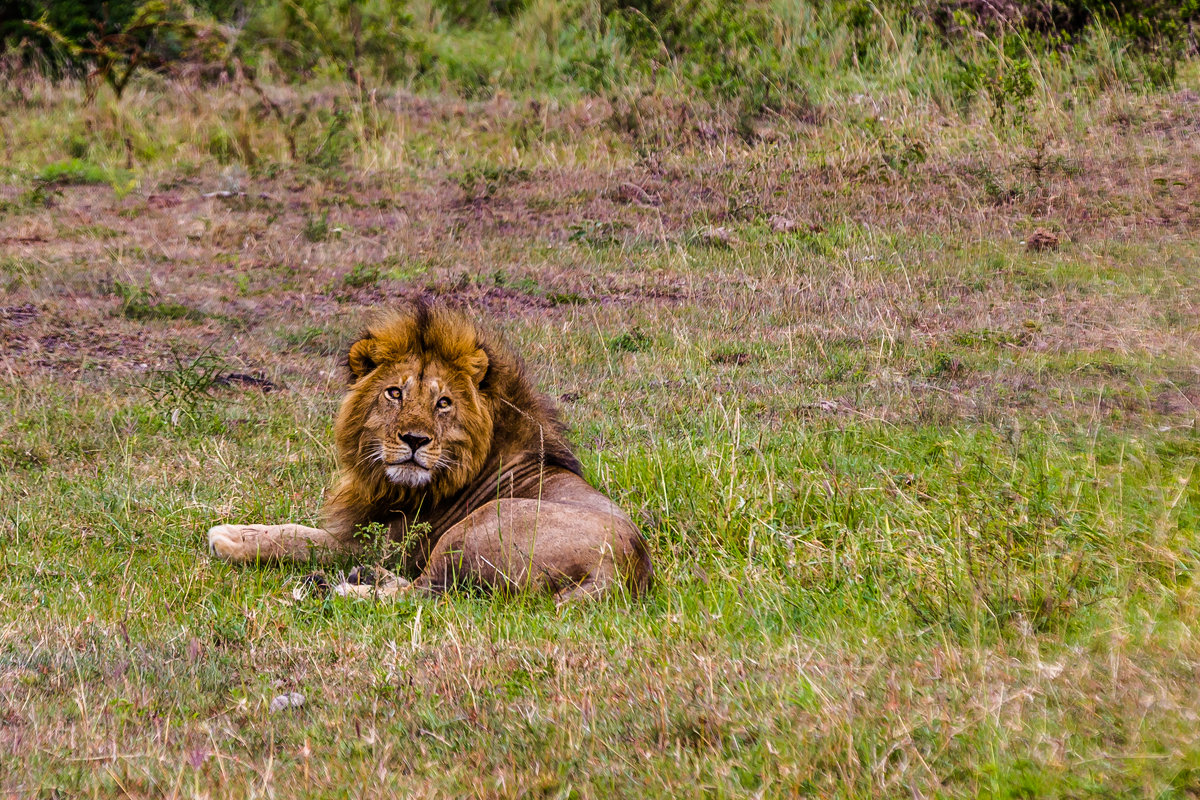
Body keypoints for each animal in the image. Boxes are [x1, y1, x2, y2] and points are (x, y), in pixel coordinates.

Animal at [208, 299, 657, 599]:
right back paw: (359, 579)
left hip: (476, 528)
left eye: (443, 403)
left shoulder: (383, 543)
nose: (415, 440)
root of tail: (621, 570)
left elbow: (303, 538)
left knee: (424, 593)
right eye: (394, 393)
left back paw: (336, 587)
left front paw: (231, 538)